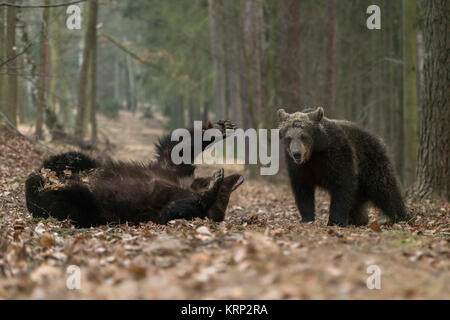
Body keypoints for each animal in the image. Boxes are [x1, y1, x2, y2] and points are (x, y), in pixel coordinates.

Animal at [25, 120, 244, 228]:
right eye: (227, 193)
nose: (237, 178)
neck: (190, 184)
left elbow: (175, 210)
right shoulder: (171, 170)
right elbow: (176, 148)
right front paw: (220, 128)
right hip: (81, 187)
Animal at [276, 107, 410, 228]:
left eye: (303, 136)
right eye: (289, 138)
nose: (297, 153)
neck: (314, 154)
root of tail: (377, 139)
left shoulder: (337, 155)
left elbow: (342, 185)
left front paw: (335, 221)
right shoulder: (300, 168)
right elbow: (303, 189)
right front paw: (306, 218)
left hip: (371, 162)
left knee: (385, 189)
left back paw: (401, 217)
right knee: (358, 201)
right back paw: (358, 219)